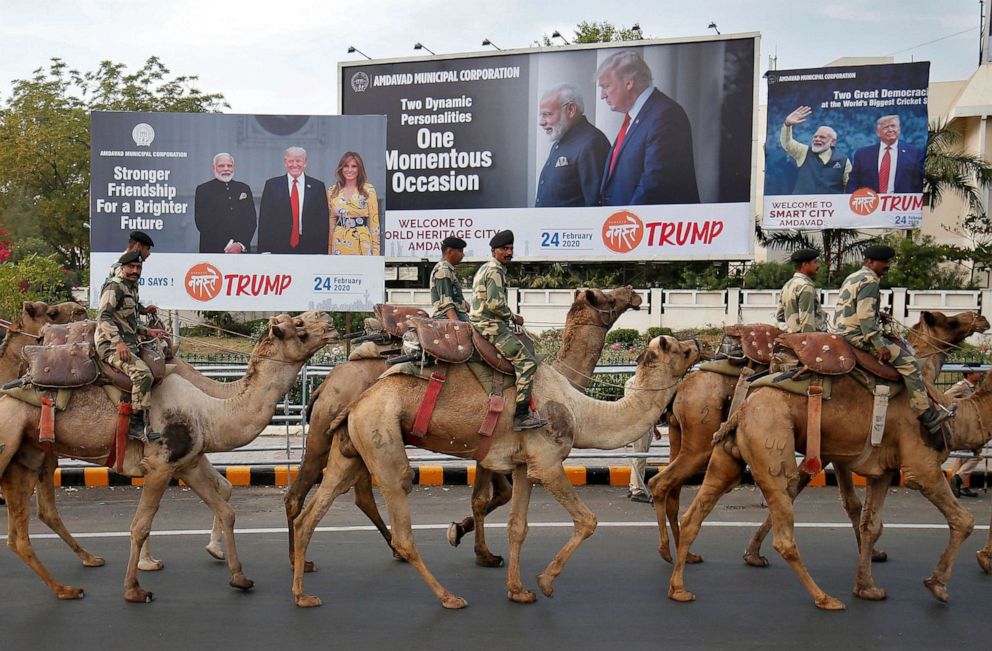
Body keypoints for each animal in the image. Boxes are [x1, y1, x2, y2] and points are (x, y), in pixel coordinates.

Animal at [0, 310, 336, 600]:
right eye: (298, 326)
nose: (328, 319)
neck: (210, 408)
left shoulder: (186, 464)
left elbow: (226, 506)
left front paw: (238, 576)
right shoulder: (161, 466)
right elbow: (140, 525)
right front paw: (134, 588)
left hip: (33, 453)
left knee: (31, 523)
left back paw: (73, 579)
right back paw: (73, 581)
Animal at [282, 286, 648, 572]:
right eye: (606, 297)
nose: (634, 293)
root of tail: (324, 383)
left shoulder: (488, 450)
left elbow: (488, 497)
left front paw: (473, 543)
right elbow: (488, 498)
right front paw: (469, 540)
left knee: (360, 494)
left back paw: (385, 549)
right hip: (328, 431)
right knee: (299, 492)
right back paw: (300, 560)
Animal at [290, 336, 700, 612]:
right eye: (678, 348)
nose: (700, 343)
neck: (579, 411)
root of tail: (353, 402)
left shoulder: (523, 467)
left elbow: (518, 527)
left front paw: (518, 590)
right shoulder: (547, 462)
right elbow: (588, 520)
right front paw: (545, 582)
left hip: (351, 447)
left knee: (313, 512)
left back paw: (302, 594)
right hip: (381, 436)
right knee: (400, 514)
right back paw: (449, 598)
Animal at [672, 314, 988, 608]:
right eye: (949, 321)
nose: (981, 319)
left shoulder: (872, 464)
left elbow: (868, 519)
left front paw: (867, 585)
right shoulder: (916, 463)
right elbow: (962, 520)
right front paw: (938, 585)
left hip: (726, 454)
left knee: (693, 511)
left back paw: (678, 584)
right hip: (750, 443)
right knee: (780, 530)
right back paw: (824, 598)